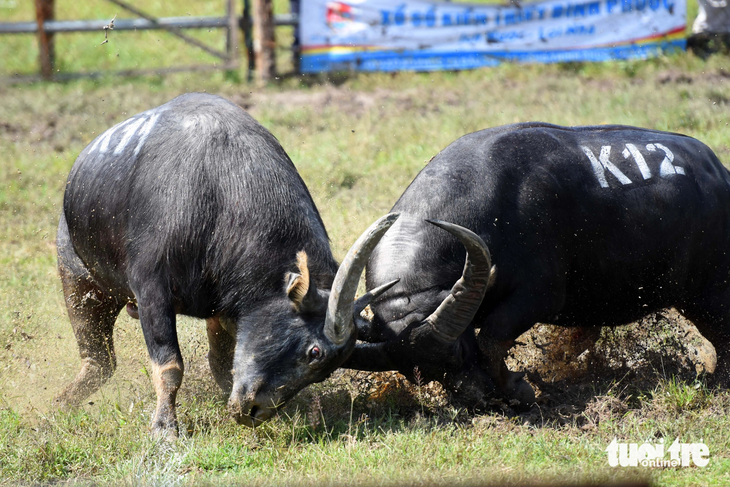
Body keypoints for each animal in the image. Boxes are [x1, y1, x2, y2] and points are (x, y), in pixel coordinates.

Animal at [55, 93, 398, 436]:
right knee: (99, 361)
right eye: (315, 352)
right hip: (79, 280)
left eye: (329, 369)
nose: (255, 412)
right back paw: (61, 403)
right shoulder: (152, 292)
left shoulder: (223, 308)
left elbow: (222, 365)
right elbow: (170, 366)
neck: (222, 195)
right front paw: (165, 429)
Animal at [344, 124, 728, 406]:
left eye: (458, 351)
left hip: (710, 295)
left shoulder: (537, 298)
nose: (480, 400)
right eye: (420, 375)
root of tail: (719, 174)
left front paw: (518, 389)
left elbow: (492, 339)